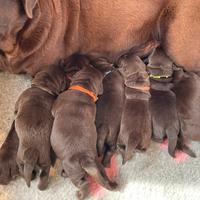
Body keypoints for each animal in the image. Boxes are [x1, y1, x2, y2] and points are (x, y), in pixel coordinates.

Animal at [50, 56, 117, 200]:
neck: (83, 88)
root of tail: (85, 159)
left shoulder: (56, 104)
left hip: (73, 169)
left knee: (83, 183)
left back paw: (77, 191)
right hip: (98, 167)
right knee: (102, 177)